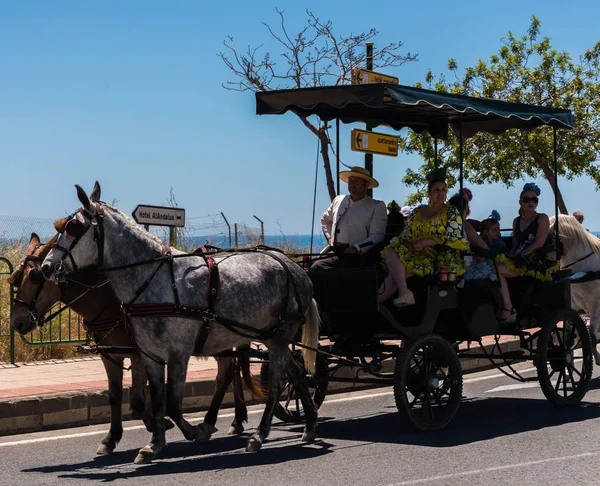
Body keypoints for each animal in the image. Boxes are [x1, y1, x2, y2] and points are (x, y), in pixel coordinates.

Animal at [7, 232, 260, 456]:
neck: (109, 300)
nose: (17, 322)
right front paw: (111, 437)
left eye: (35, 277)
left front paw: (159, 425)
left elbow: (138, 401)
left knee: (227, 373)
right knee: (231, 371)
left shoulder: (138, 353)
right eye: (18, 279)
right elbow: (115, 395)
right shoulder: (112, 355)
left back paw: (215, 421)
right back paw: (235, 419)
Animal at [42, 181, 322, 464]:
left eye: (73, 227)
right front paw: (154, 444)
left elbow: (173, 404)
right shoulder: (150, 355)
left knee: (276, 384)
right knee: (296, 373)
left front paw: (193, 431)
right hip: (271, 337)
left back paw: (259, 434)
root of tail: (294, 268)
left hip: (278, 337)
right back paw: (309, 424)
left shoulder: (178, 354)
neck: (155, 279)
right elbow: (158, 401)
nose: (46, 267)